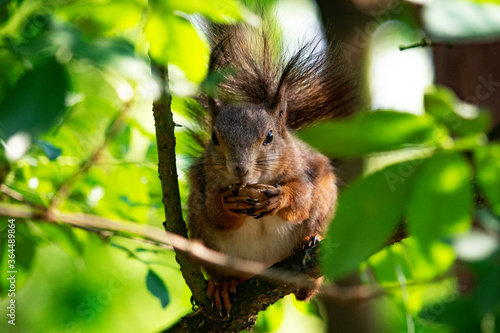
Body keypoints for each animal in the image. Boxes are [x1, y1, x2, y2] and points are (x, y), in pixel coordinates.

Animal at [187, 19, 356, 316]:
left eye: (269, 136)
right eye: (214, 138)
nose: (239, 170)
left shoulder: (304, 169)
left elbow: (300, 200)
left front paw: (279, 199)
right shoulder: (203, 183)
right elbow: (215, 212)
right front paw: (227, 204)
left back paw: (307, 251)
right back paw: (223, 286)